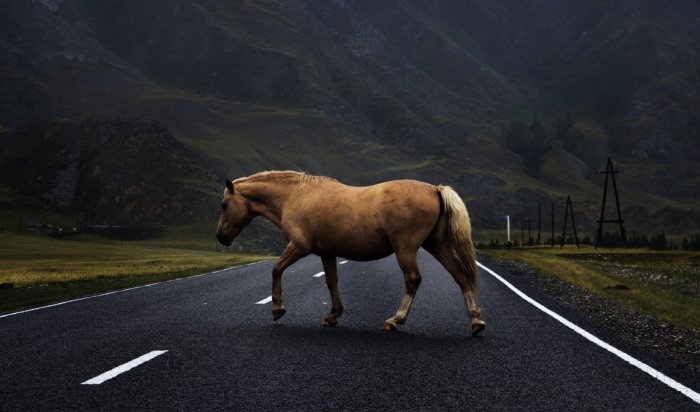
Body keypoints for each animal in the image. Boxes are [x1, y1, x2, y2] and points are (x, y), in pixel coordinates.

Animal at [216, 171, 484, 334]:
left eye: (224, 204)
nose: (221, 237)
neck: (296, 196)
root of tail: (435, 189)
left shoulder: (298, 247)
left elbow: (276, 269)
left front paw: (278, 309)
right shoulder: (326, 253)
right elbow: (331, 281)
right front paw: (333, 315)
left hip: (406, 249)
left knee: (413, 280)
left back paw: (395, 320)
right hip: (437, 246)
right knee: (460, 276)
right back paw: (475, 321)